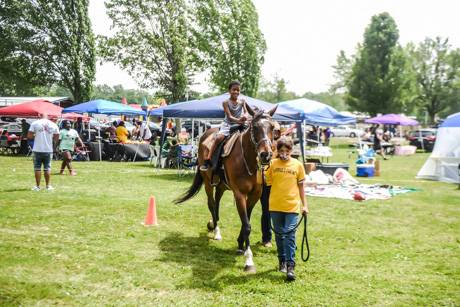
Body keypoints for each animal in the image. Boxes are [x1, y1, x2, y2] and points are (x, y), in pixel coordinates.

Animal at [175, 104, 276, 274]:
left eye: (273, 128)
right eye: (255, 127)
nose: (266, 155)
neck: (247, 159)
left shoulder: (255, 195)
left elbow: (246, 221)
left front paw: (241, 245)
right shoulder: (239, 194)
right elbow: (247, 225)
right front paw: (249, 260)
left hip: (221, 186)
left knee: (217, 204)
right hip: (208, 183)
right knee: (211, 204)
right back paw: (216, 231)